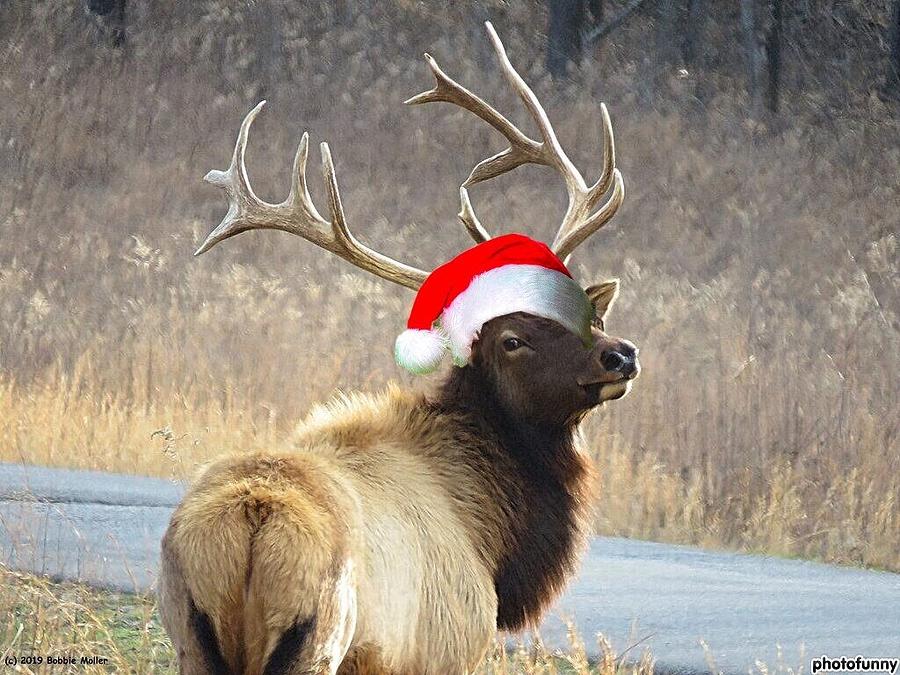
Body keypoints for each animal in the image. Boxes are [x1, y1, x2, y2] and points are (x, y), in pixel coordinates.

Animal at [160, 22, 640, 675]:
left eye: (587, 310)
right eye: (512, 339)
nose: (621, 354)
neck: (490, 538)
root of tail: (254, 517)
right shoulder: (447, 646)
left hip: (190, 636)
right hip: (319, 637)